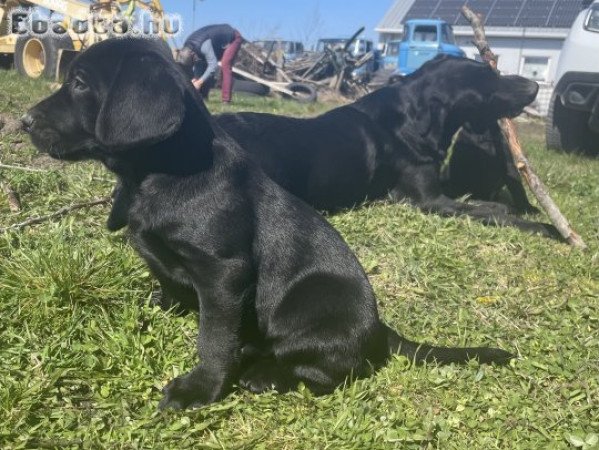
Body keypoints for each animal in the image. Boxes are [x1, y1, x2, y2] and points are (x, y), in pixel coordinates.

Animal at [23, 38, 510, 410]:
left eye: (80, 84)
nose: (24, 121)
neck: (160, 175)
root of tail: (380, 329)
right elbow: (170, 286)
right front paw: (162, 305)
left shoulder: (224, 273)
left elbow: (214, 338)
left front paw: (201, 387)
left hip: (310, 302)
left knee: (324, 368)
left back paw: (265, 374)